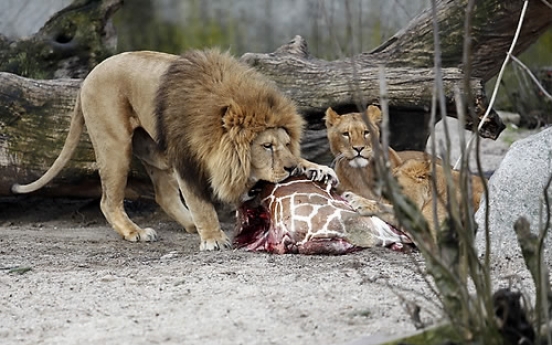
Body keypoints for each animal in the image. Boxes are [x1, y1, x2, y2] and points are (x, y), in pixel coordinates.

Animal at [12, 49, 336, 250]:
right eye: (266, 146)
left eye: (286, 144)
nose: (290, 168)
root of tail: (86, 79)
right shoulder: (187, 160)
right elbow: (201, 202)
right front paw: (213, 238)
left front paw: (318, 170)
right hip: (115, 145)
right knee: (109, 201)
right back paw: (136, 232)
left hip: (154, 150)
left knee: (163, 195)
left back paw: (189, 224)